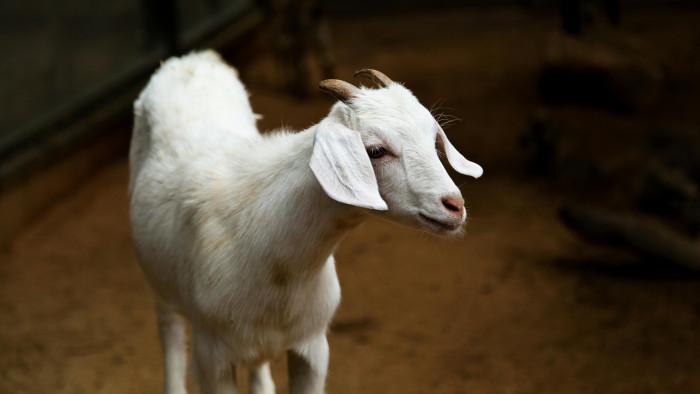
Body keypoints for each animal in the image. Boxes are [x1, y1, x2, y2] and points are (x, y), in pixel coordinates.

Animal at [129, 50, 484, 394]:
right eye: (376, 150)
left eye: (433, 139)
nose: (455, 206)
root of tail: (190, 59)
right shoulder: (212, 358)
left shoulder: (312, 347)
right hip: (161, 288)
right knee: (170, 336)